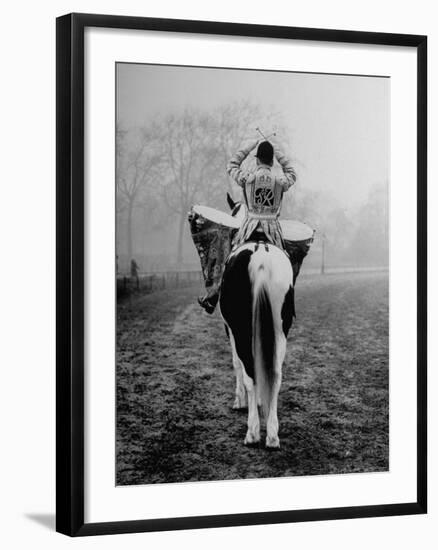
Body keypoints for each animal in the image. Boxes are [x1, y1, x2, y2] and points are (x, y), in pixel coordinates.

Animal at [219, 196, 294, 450]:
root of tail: (260, 258)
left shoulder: (230, 330)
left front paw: (239, 401)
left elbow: (236, 364)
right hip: (281, 329)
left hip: (242, 329)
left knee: (250, 372)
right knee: (276, 374)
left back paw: (252, 432)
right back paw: (272, 434)